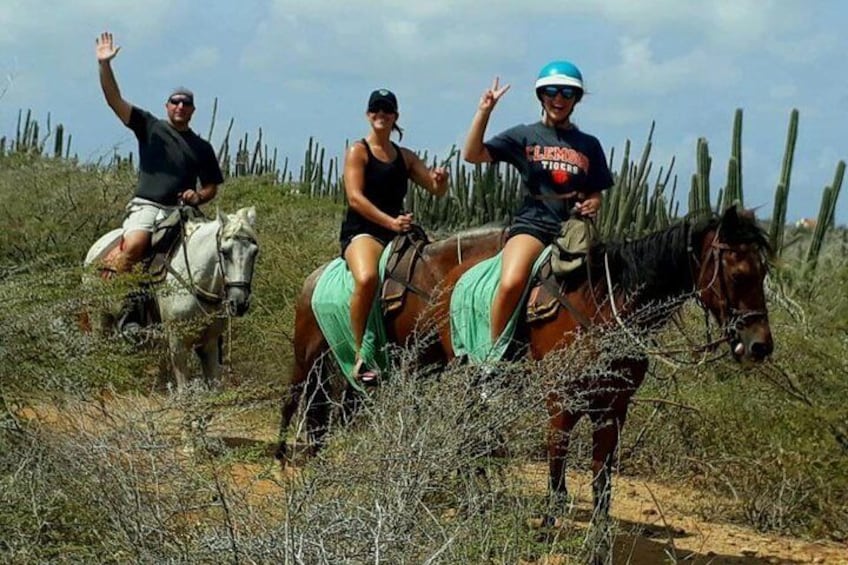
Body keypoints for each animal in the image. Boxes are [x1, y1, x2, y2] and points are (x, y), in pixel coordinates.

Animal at [85, 206, 260, 388]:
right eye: (224, 252)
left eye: (255, 252)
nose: (239, 303)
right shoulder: (178, 344)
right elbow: (184, 388)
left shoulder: (209, 344)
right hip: (99, 318)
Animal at [278, 205, 776, 532]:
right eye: (737, 272)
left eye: (764, 272)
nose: (759, 345)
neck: (605, 305)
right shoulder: (561, 399)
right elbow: (557, 461)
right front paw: (549, 522)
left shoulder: (614, 407)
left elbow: (603, 479)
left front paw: (598, 535)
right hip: (312, 354)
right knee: (296, 399)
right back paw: (285, 457)